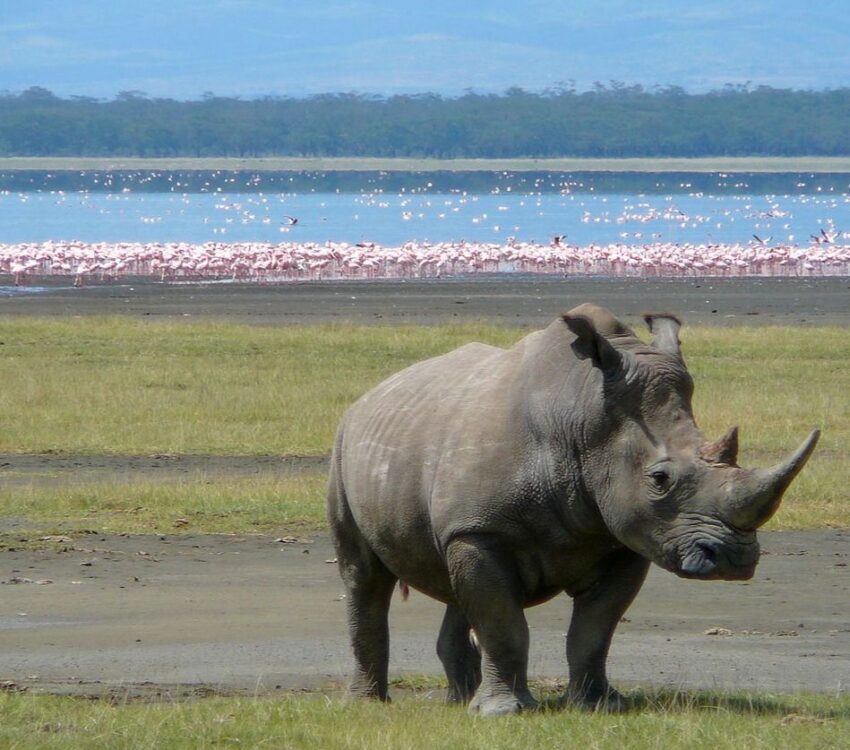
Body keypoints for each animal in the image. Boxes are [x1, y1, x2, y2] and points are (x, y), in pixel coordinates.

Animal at [327, 303, 819, 715]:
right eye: (659, 480)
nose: (733, 560)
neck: (582, 418)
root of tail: (369, 396)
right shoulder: (482, 530)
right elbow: (503, 625)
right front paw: (503, 713)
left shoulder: (623, 538)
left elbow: (594, 631)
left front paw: (600, 705)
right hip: (344, 447)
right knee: (364, 577)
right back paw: (369, 704)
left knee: (454, 581)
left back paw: (459, 701)